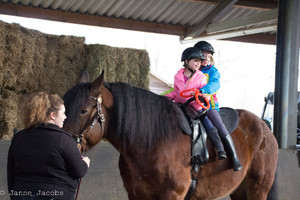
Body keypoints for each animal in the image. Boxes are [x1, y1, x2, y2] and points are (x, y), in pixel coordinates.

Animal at [62, 71, 278, 199]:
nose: (63, 143)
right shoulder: (136, 193)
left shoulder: (172, 194)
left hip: (258, 190)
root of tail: (266, 129)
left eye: (83, 110)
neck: (152, 141)